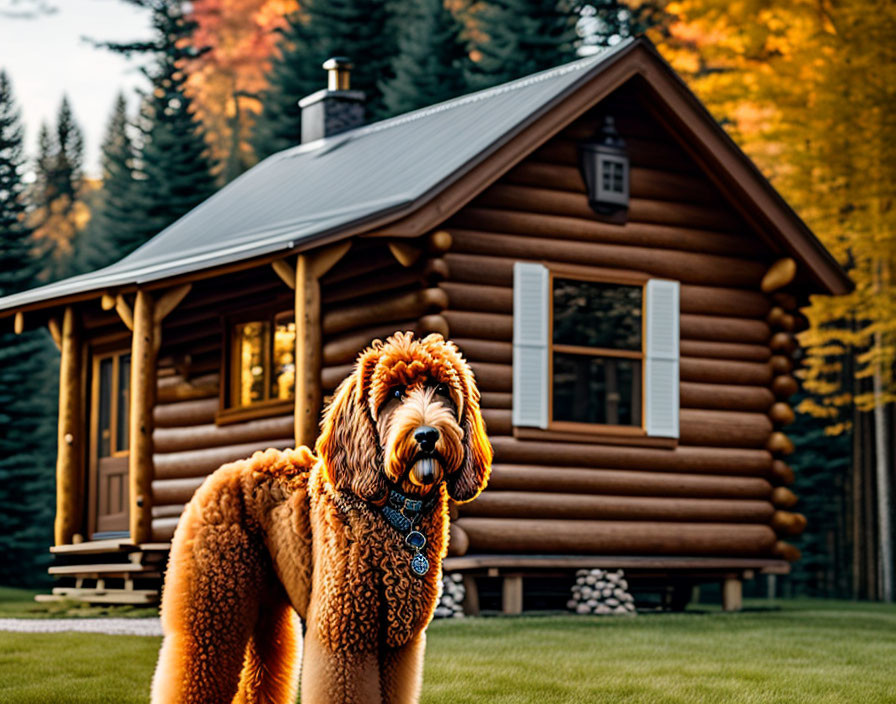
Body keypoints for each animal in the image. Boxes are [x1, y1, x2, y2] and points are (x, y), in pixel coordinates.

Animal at [150, 332, 494, 704]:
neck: (398, 513)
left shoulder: (398, 644)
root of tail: (218, 474)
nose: (427, 435)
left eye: (442, 389)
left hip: (266, 608)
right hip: (212, 607)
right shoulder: (344, 635)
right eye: (396, 394)